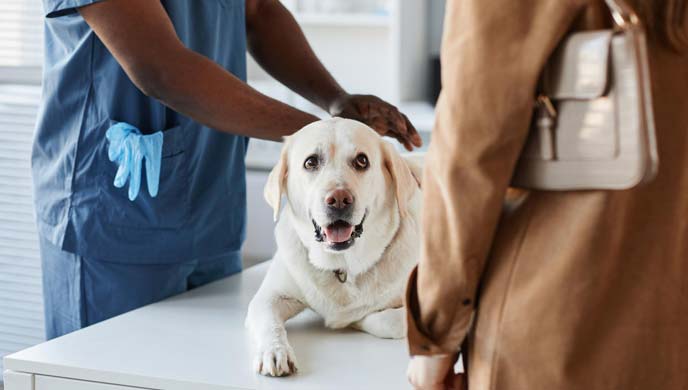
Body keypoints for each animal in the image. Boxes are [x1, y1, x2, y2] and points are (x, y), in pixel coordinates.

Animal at [247, 117, 420, 376]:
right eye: (311, 162)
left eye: (362, 160)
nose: (339, 199)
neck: (343, 268)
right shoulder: (268, 297)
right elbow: (269, 322)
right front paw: (275, 352)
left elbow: (388, 320)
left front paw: (355, 319)